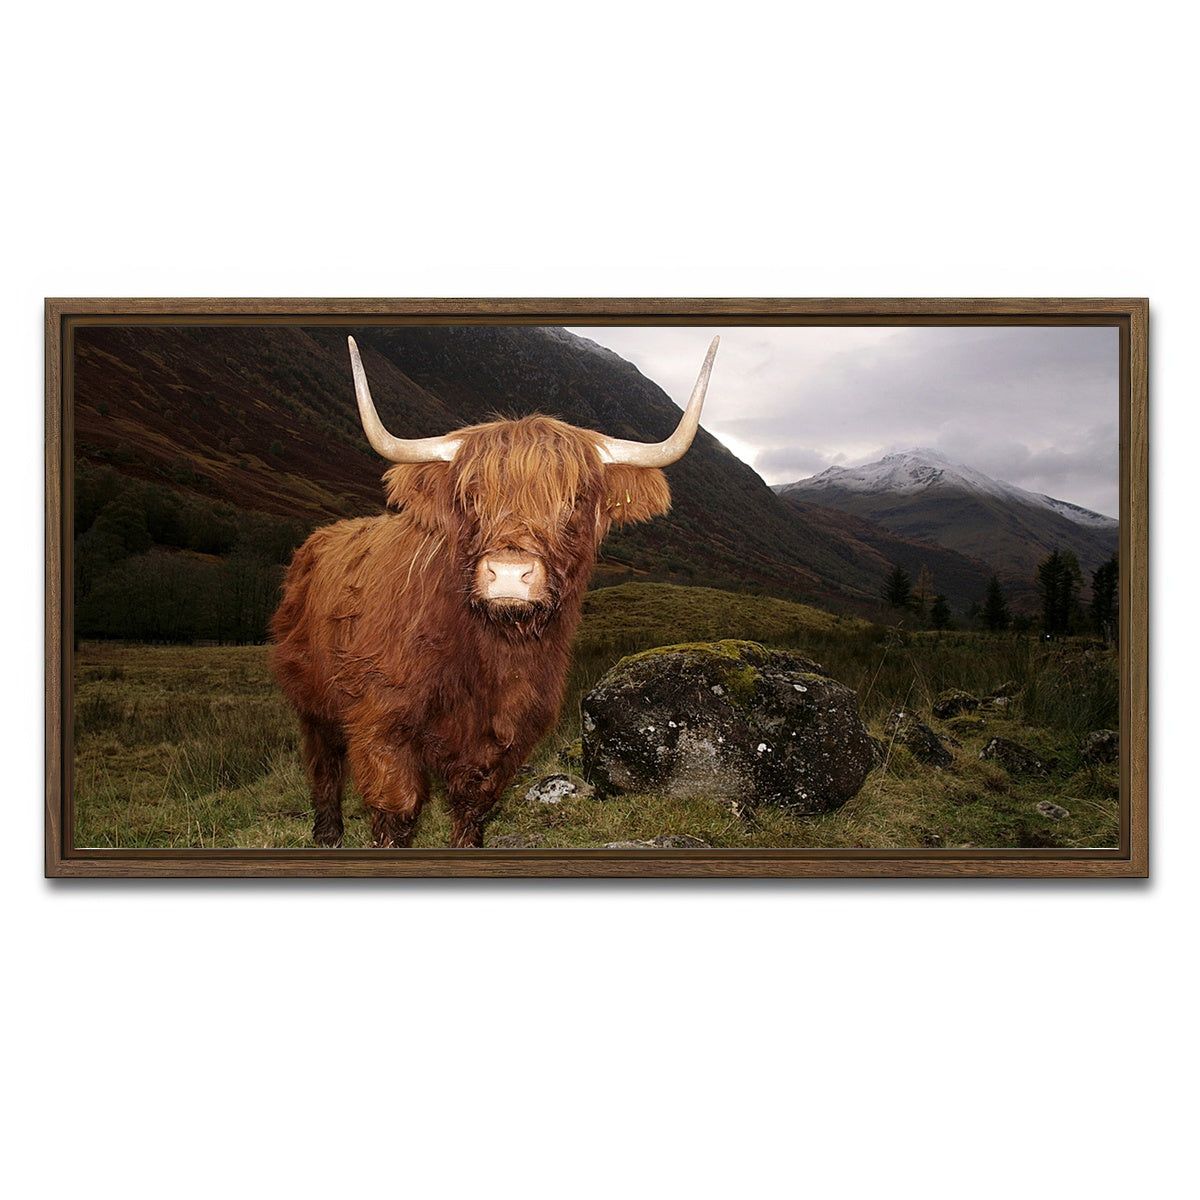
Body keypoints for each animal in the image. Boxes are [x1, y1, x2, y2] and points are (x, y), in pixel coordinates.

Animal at [269, 334, 718, 848]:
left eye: (574, 500)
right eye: (470, 498)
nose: (508, 573)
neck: (491, 653)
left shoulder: (508, 735)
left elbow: (473, 806)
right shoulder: (380, 722)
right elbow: (397, 811)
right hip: (311, 697)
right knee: (322, 762)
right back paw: (328, 833)